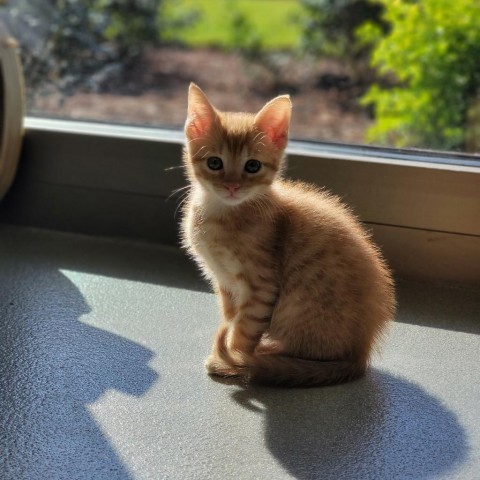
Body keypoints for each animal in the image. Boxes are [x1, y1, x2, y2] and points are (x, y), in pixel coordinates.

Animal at [180, 82, 394, 388]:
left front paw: (233, 358)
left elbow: (244, 330)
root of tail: (361, 353)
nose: (232, 186)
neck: (221, 213)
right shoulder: (224, 284)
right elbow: (231, 318)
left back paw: (264, 356)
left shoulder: (261, 287)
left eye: (252, 166)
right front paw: (231, 349)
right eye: (214, 163)